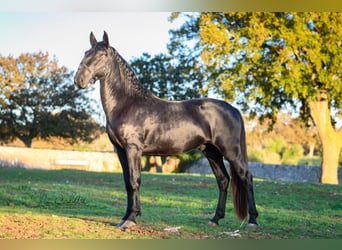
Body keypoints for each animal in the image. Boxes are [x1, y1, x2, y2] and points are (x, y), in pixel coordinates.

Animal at [73, 31, 258, 230]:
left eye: (101, 55)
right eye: (86, 53)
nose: (79, 80)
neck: (127, 104)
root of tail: (233, 109)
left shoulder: (133, 149)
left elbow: (134, 181)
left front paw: (131, 218)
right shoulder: (121, 150)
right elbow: (127, 183)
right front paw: (125, 217)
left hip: (231, 152)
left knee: (246, 178)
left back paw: (253, 221)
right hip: (212, 152)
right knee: (223, 180)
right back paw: (215, 219)